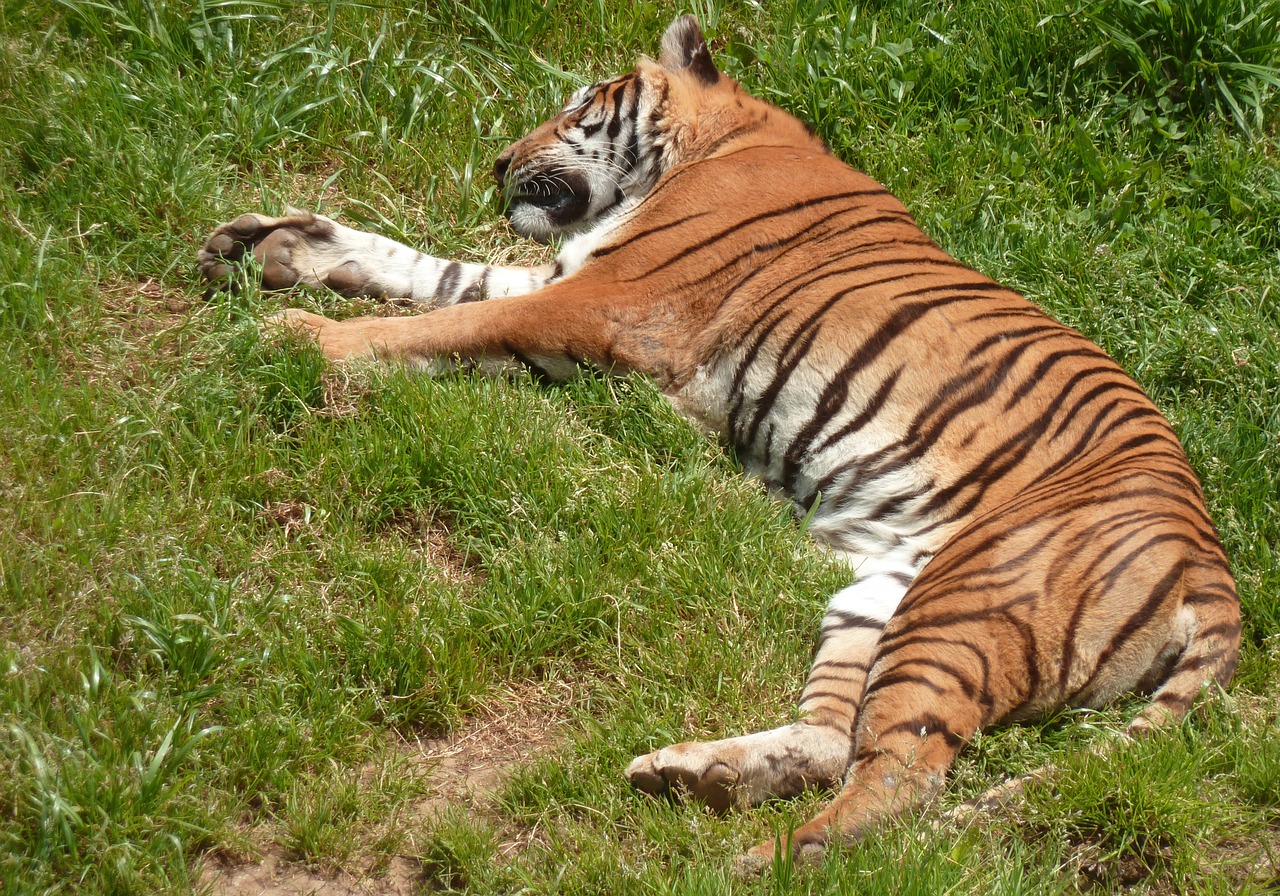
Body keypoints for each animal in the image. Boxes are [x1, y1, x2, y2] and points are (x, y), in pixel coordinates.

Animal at [199, 14, 1239, 870]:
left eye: (576, 104)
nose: (496, 164)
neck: (716, 144)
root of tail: (1212, 566)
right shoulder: (570, 281)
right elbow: (438, 274)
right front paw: (279, 246)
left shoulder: (604, 300)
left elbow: (439, 321)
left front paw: (296, 336)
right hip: (882, 596)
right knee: (836, 741)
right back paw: (702, 776)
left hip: (969, 603)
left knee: (906, 779)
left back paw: (770, 856)